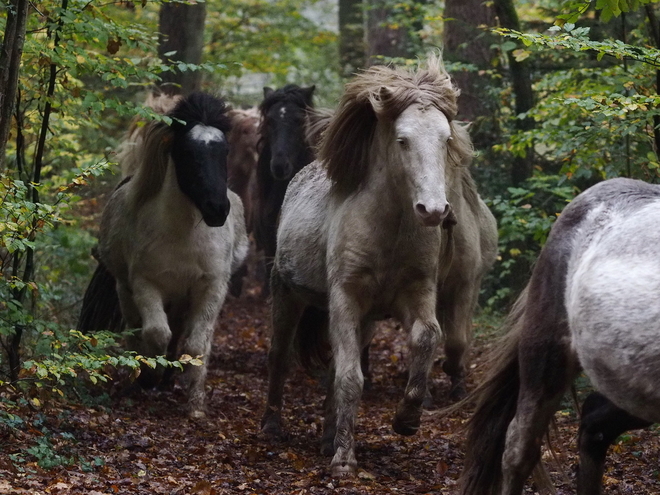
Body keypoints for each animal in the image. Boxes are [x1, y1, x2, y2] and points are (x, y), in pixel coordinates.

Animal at [79, 92, 248, 418]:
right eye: (186, 151)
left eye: (224, 151)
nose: (217, 209)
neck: (183, 236)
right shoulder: (145, 284)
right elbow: (156, 333)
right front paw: (148, 376)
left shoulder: (212, 287)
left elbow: (196, 345)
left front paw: (195, 405)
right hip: (126, 290)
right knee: (136, 331)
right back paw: (139, 377)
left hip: (182, 299)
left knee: (180, 334)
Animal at [260, 56, 498, 478]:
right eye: (402, 140)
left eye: (445, 140)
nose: (434, 210)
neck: (389, 229)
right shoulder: (344, 300)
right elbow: (350, 377)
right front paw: (344, 459)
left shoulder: (416, 295)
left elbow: (427, 339)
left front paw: (407, 419)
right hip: (287, 295)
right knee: (280, 357)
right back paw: (273, 425)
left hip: (367, 321)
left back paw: (326, 438)